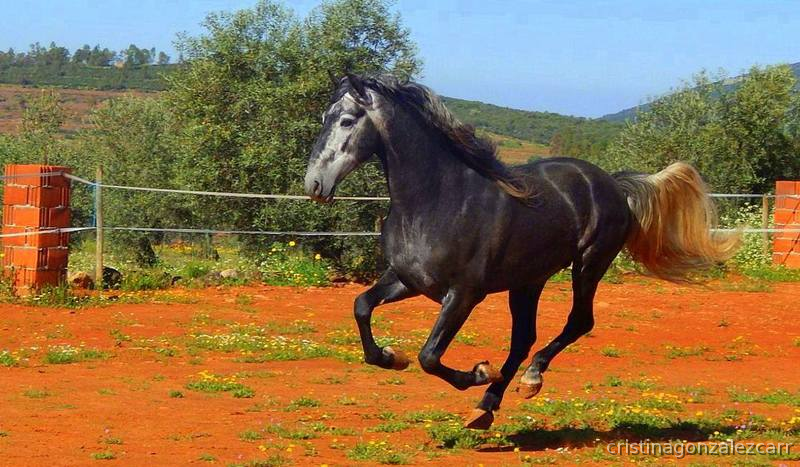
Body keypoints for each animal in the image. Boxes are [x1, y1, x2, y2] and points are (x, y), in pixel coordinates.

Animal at [303, 73, 739, 429]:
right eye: (325, 116)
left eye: (346, 120)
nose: (314, 184)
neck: (437, 200)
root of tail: (613, 184)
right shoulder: (408, 280)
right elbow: (361, 306)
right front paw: (392, 357)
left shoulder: (464, 294)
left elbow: (430, 356)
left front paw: (479, 372)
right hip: (528, 281)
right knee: (524, 338)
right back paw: (485, 408)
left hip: (588, 264)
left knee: (578, 322)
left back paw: (525, 381)